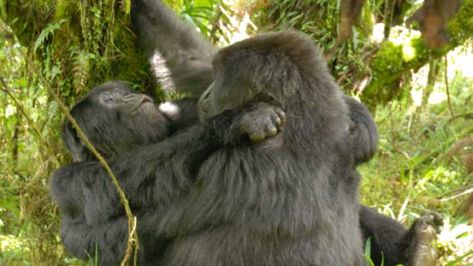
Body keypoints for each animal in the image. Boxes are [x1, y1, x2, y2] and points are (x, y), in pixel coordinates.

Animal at [50, 80, 284, 264]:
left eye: (120, 92)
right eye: (108, 98)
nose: (129, 95)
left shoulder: (177, 110)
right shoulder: (66, 180)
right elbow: (117, 187)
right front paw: (236, 119)